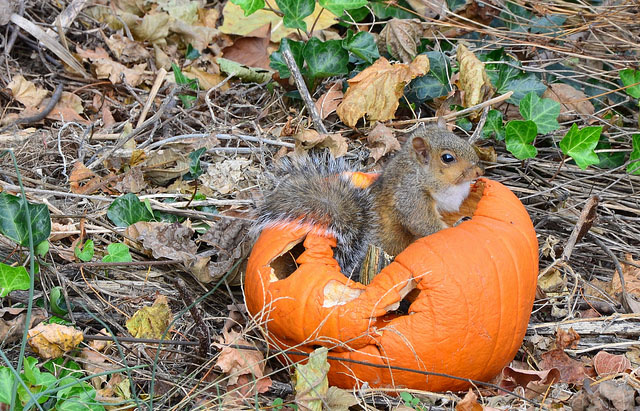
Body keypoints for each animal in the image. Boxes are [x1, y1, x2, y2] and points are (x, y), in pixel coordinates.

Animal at [252, 124, 482, 280]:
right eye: (447, 158)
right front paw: (453, 226)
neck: (418, 172)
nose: (480, 171)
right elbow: (422, 223)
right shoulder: (410, 196)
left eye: (461, 140)